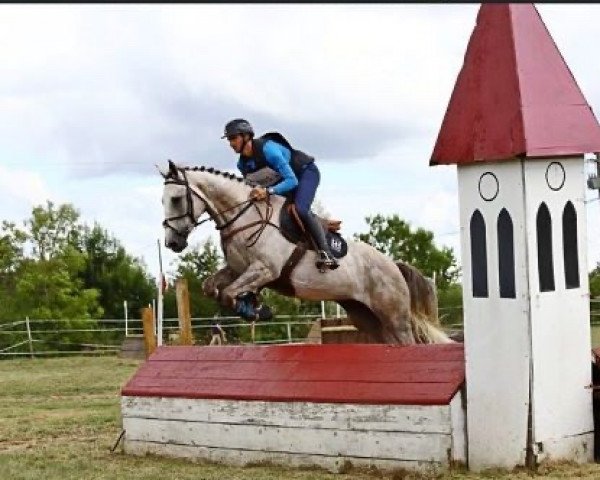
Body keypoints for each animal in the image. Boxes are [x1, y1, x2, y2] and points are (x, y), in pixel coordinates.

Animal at [159, 161, 450, 344]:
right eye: (163, 200)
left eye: (176, 199)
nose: (172, 243)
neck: (244, 216)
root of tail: (393, 265)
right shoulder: (238, 269)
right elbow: (213, 288)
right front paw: (253, 307)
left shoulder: (265, 269)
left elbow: (230, 294)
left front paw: (255, 310)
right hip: (366, 316)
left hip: (394, 316)